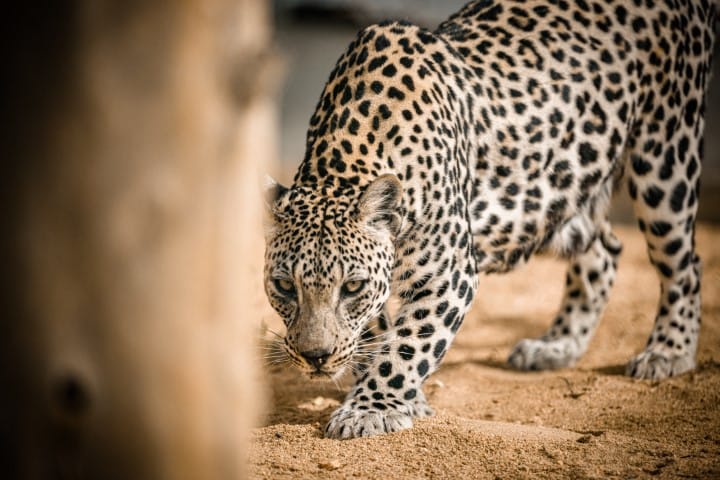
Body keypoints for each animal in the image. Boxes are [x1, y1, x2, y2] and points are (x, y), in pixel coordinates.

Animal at [262, 0, 716, 438]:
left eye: (352, 287)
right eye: (284, 286)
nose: (315, 357)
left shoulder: (448, 275)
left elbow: (406, 346)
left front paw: (370, 409)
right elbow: (378, 335)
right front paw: (401, 399)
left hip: (665, 158)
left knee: (684, 263)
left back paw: (668, 351)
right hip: (562, 190)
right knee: (605, 250)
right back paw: (558, 346)